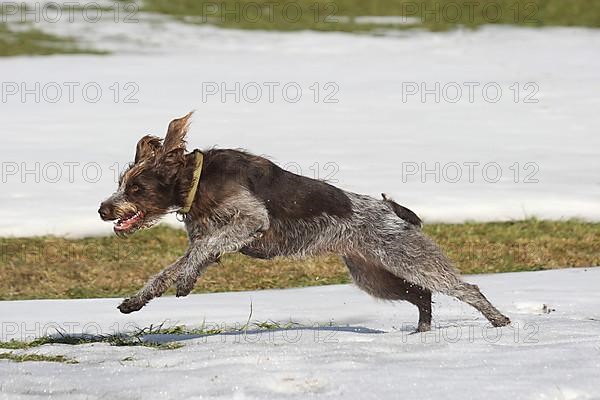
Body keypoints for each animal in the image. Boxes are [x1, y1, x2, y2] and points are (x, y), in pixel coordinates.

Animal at [99, 111, 510, 332]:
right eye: (122, 183)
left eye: (135, 187)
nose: (103, 209)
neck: (196, 181)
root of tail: (393, 210)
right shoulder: (208, 239)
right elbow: (170, 270)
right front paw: (140, 299)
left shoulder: (250, 221)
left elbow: (201, 252)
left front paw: (184, 282)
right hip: (373, 275)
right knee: (422, 296)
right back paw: (421, 333)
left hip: (408, 258)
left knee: (464, 288)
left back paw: (499, 322)